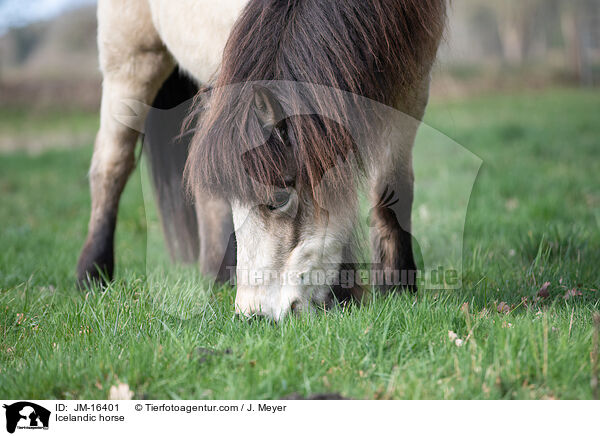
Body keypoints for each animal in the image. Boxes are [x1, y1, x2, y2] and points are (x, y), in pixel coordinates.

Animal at [77, 0, 446, 320]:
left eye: (280, 199)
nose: (252, 315)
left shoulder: (411, 84)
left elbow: (391, 190)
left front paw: (397, 288)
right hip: (130, 61)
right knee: (111, 166)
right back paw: (92, 275)